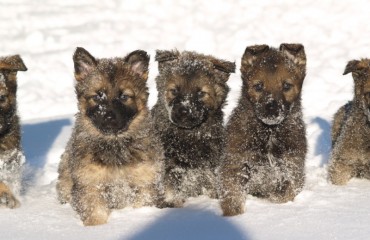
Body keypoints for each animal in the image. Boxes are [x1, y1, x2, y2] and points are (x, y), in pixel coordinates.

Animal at [152, 49, 236, 207]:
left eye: (201, 93)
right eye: (174, 91)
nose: (184, 111)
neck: (190, 134)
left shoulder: (210, 164)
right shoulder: (170, 164)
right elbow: (170, 185)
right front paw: (172, 202)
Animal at [220, 44, 306, 217]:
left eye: (286, 86)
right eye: (258, 86)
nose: (271, 108)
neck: (269, 132)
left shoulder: (292, 167)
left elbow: (286, 192)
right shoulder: (235, 163)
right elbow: (233, 194)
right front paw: (233, 214)